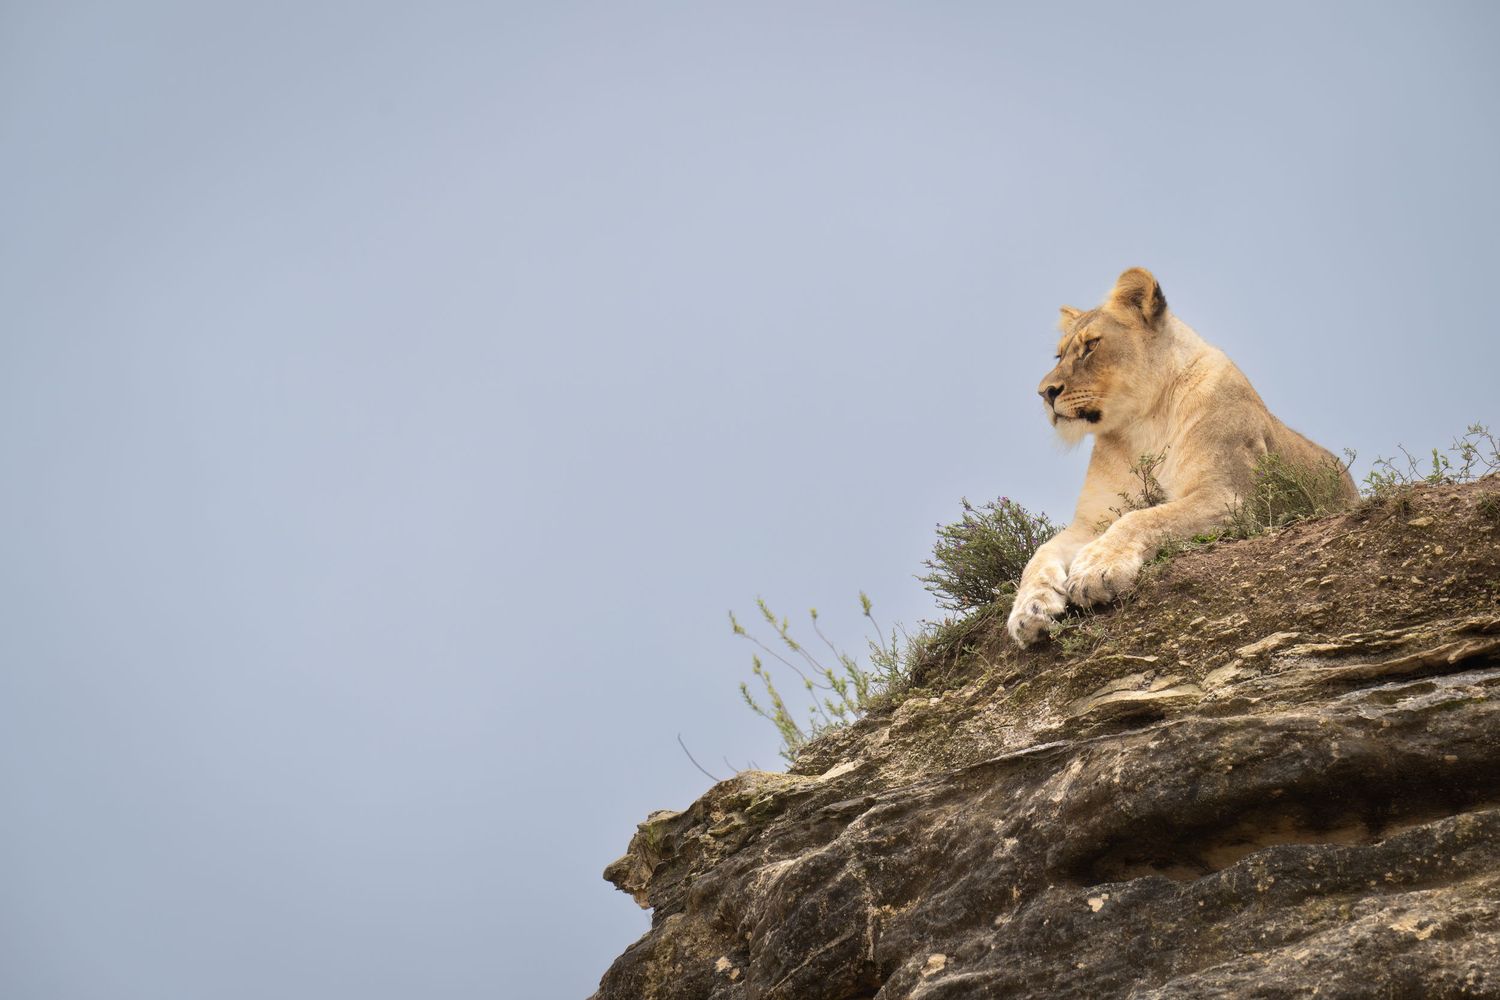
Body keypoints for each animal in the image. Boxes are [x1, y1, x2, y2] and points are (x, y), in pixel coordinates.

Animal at [1006, 267, 1358, 647]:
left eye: (1091, 345)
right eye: (1059, 356)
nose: (1045, 392)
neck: (1141, 423)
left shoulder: (1228, 497)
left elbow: (1141, 519)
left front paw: (1095, 570)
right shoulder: (1090, 522)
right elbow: (1039, 553)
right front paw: (1029, 610)